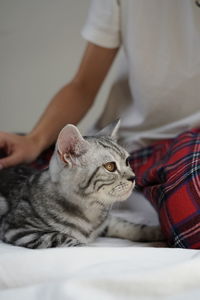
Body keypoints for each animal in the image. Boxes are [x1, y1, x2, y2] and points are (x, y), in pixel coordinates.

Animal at [0, 120, 163, 248]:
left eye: (127, 161)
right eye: (110, 166)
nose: (133, 177)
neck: (90, 211)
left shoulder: (107, 222)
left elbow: (127, 225)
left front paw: (156, 232)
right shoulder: (20, 230)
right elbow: (67, 239)